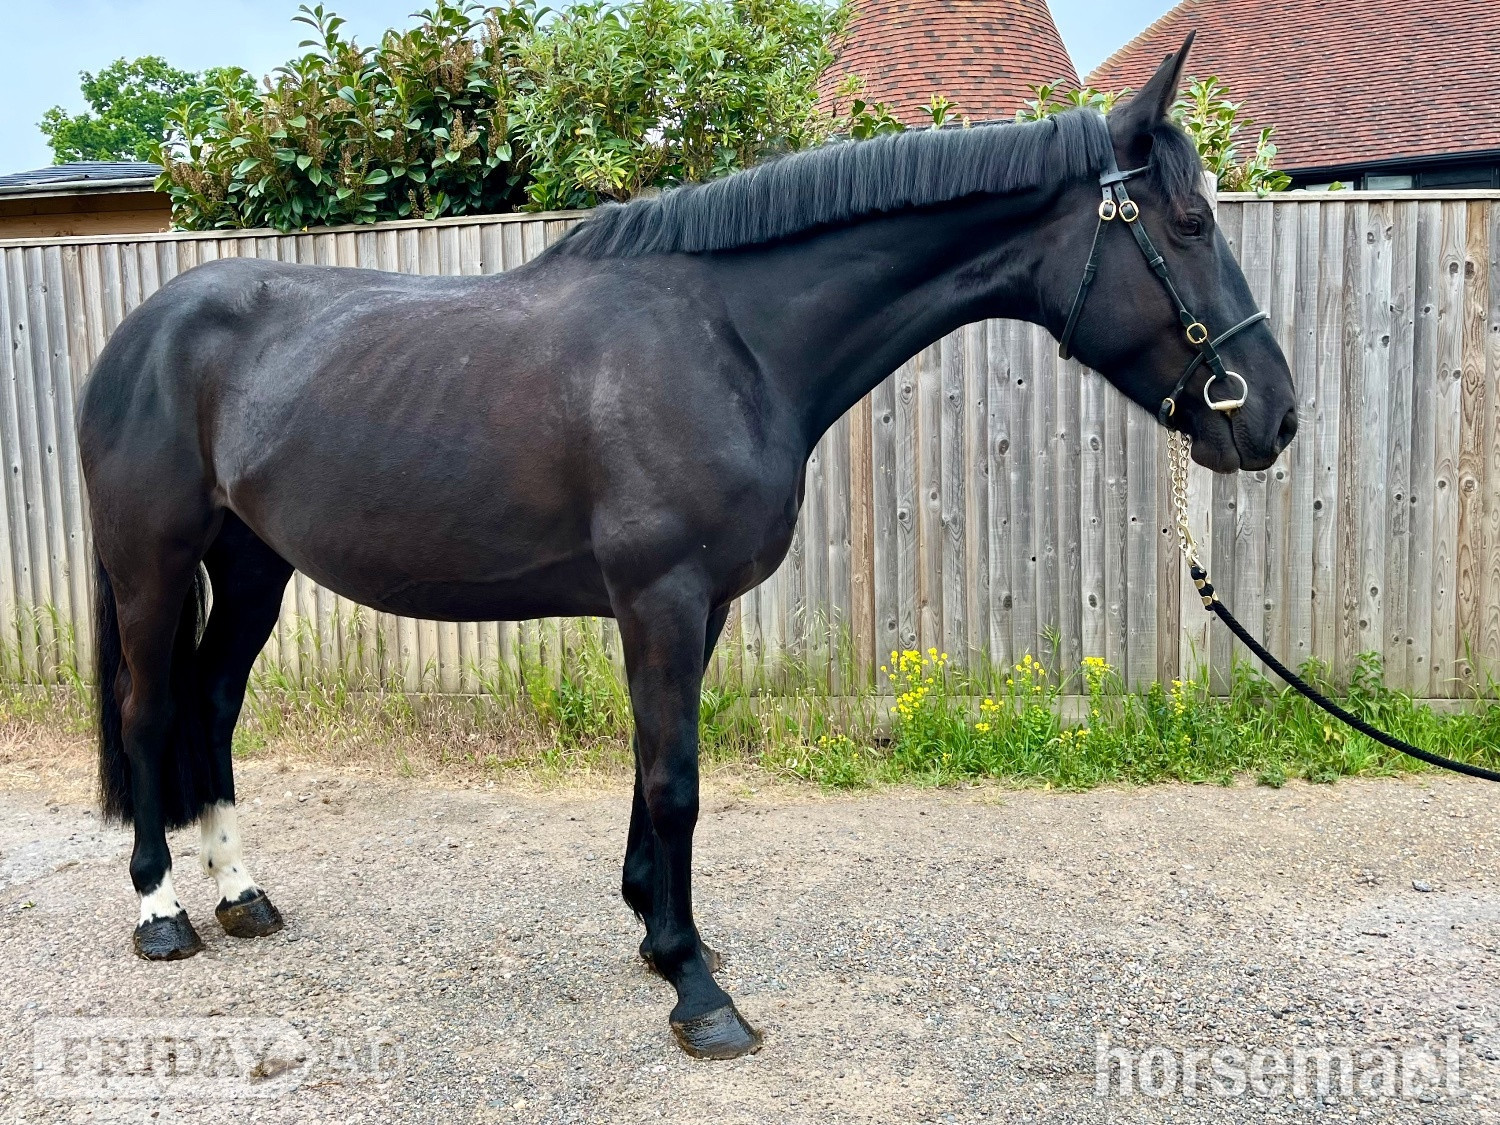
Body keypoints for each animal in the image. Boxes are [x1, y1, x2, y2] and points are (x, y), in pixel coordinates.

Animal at [78, 34, 1297, 1060]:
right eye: (1189, 225)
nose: (1273, 416)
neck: (731, 341)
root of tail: (142, 331)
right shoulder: (660, 596)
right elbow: (676, 782)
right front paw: (700, 995)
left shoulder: (697, 605)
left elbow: (650, 767)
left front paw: (662, 937)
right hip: (152, 565)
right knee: (151, 709)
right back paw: (161, 910)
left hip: (252, 565)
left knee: (214, 704)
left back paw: (242, 895)